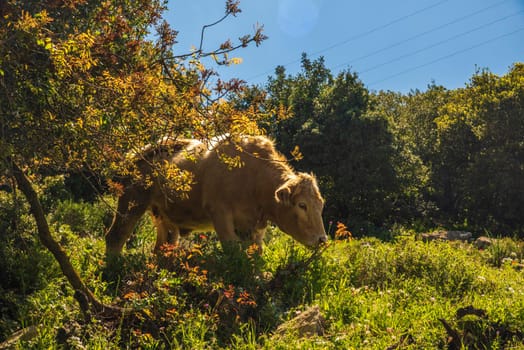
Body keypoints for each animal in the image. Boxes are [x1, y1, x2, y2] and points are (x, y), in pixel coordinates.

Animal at [104, 135, 328, 254]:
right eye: (302, 205)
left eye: (320, 205)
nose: (322, 239)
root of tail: (137, 154)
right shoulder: (220, 213)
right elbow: (232, 250)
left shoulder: (254, 227)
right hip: (132, 201)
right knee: (116, 236)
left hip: (163, 216)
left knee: (163, 246)